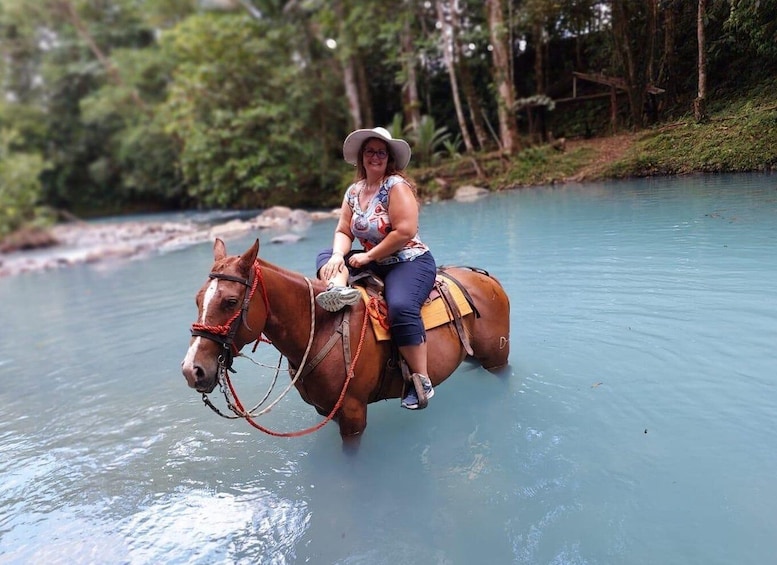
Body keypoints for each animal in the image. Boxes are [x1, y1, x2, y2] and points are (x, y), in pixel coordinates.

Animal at [181, 237, 510, 440]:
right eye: (198, 299)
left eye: (231, 302)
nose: (191, 370)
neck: (320, 330)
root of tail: (486, 278)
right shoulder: (329, 410)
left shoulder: (353, 413)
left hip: (497, 357)